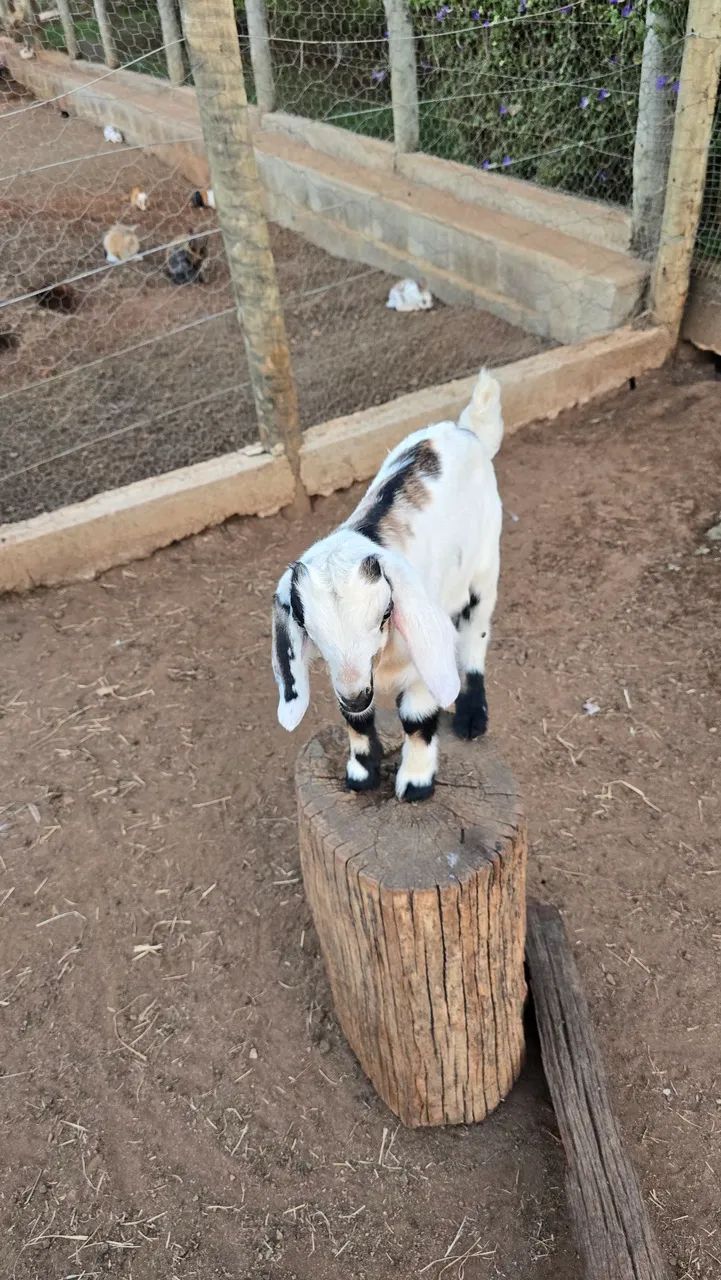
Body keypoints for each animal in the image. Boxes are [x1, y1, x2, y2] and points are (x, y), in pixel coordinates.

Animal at [271, 368, 503, 801]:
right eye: (305, 625)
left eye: (385, 614)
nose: (359, 694)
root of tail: (465, 429)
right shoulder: (346, 676)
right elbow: (355, 720)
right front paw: (361, 773)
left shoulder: (424, 660)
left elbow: (417, 720)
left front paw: (415, 783)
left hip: (485, 564)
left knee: (475, 635)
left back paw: (472, 717)